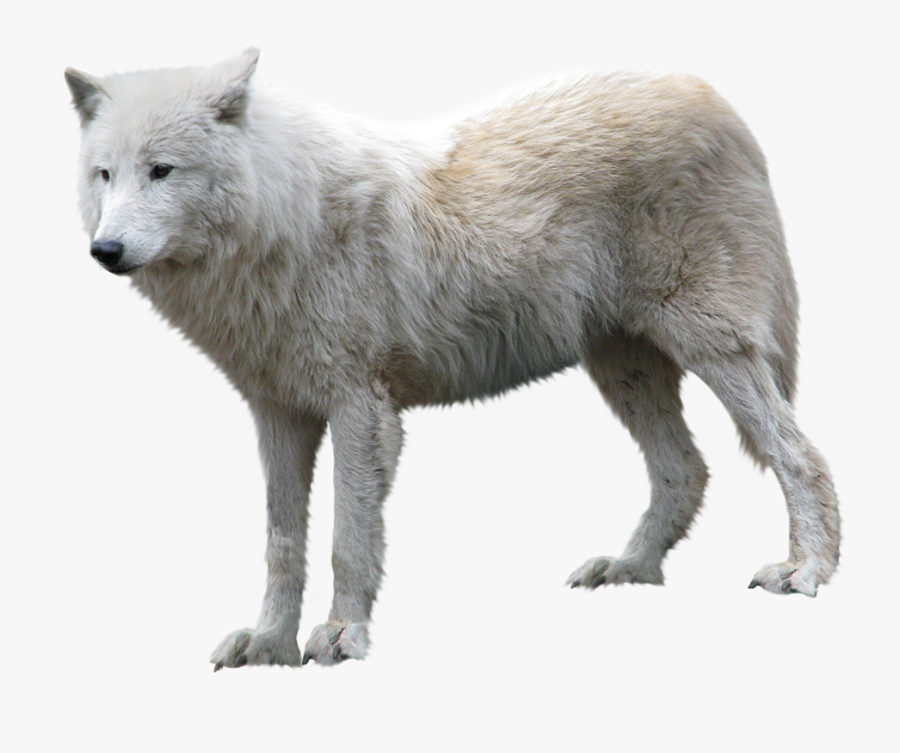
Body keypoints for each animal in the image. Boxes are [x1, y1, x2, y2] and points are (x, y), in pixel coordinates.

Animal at [66, 49, 840, 669]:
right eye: (105, 174)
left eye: (162, 170)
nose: (104, 251)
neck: (283, 222)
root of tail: (705, 91)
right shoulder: (278, 412)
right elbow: (282, 545)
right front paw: (268, 645)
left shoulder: (359, 407)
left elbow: (349, 538)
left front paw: (342, 635)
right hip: (622, 365)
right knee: (686, 468)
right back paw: (630, 567)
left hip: (711, 346)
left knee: (800, 454)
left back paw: (806, 570)